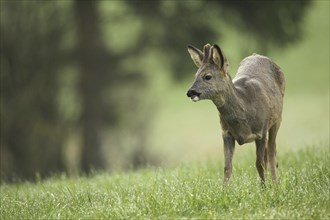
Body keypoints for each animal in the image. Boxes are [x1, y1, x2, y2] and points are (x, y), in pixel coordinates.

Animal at [187, 43, 284, 184]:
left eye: (207, 76)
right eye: (195, 75)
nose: (190, 92)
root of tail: (257, 55)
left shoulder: (261, 131)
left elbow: (259, 164)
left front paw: (264, 188)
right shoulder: (226, 133)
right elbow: (227, 167)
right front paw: (224, 189)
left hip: (277, 120)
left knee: (272, 154)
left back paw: (275, 184)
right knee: (268, 154)